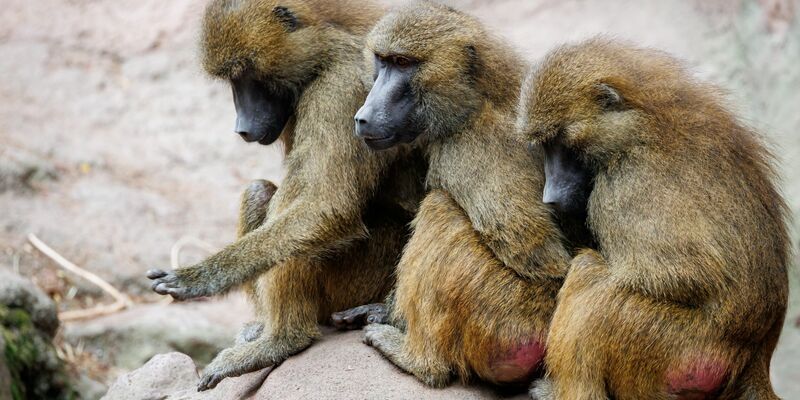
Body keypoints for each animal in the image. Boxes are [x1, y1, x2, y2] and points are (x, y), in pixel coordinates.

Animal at [146, 0, 429, 391]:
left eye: (248, 74)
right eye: (233, 80)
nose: (242, 127)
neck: (327, 44)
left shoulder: (342, 89)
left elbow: (326, 208)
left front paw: (198, 278)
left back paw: (282, 340)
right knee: (259, 193)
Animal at [335, 2, 572, 388]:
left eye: (404, 63)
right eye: (383, 61)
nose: (363, 117)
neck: (474, 98)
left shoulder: (471, 147)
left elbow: (542, 260)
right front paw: (382, 309)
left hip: (504, 323)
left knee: (440, 208)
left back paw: (417, 360)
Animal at [517, 38, 790, 400]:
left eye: (562, 142)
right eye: (545, 146)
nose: (550, 196)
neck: (642, 124)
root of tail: (754, 354)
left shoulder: (622, 189)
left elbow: (683, 275)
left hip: (669, 345)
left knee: (592, 278)